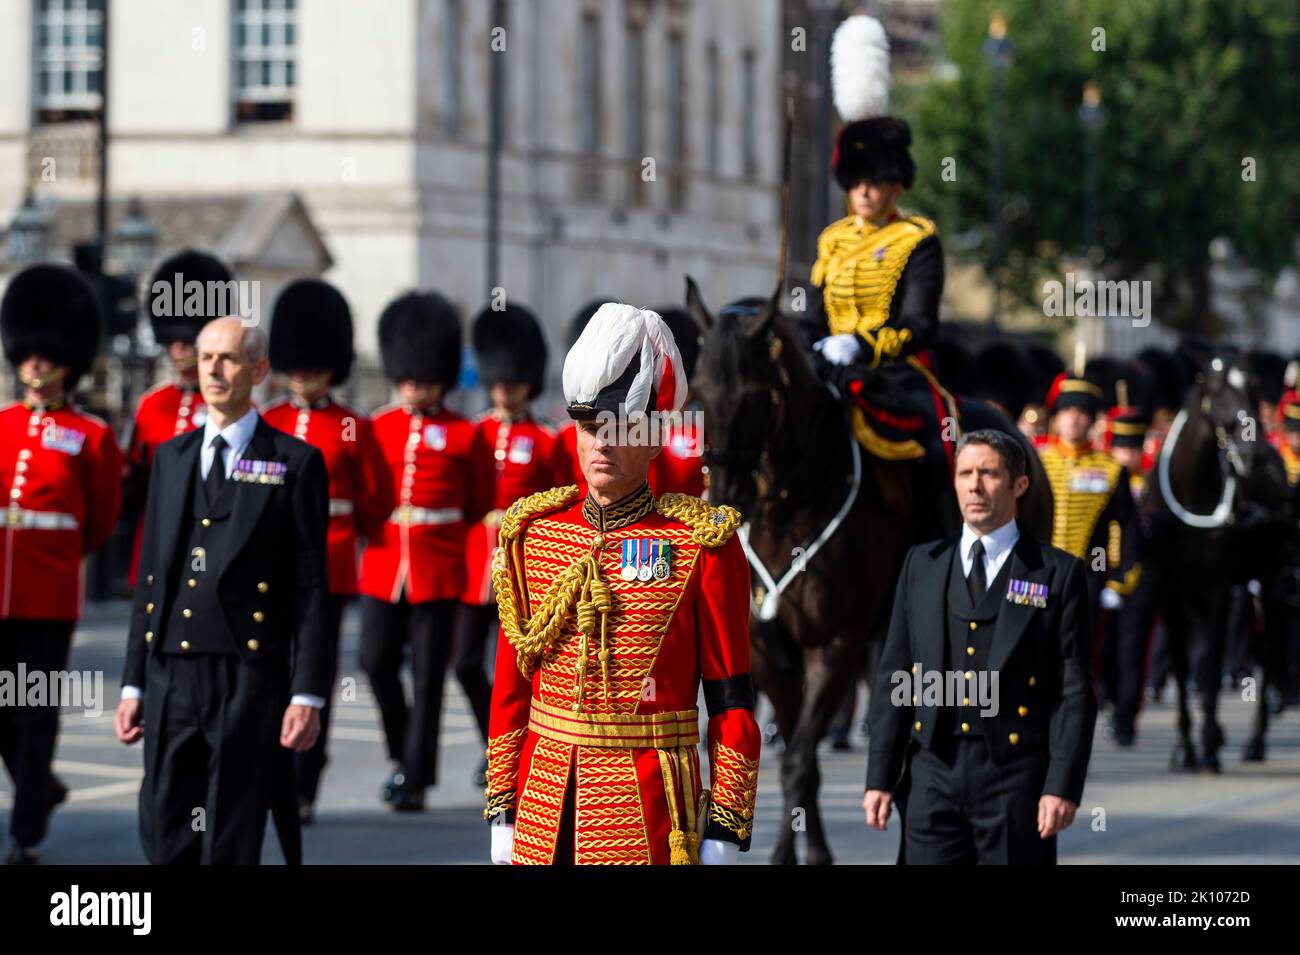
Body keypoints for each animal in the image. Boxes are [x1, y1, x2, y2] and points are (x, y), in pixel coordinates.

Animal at [686, 278, 1050, 867]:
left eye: (755, 396)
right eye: (697, 393)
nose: (726, 497)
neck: (793, 508)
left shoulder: (835, 646)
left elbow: (798, 762)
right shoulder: (768, 656)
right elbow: (801, 764)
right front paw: (802, 851)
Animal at [1149, 356, 1289, 774]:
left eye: (1255, 390)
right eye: (1217, 391)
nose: (1254, 454)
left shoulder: (1218, 591)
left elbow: (1210, 666)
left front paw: (1208, 745)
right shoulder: (1168, 589)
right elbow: (1183, 666)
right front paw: (1185, 746)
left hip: (1269, 583)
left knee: (1268, 654)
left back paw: (1255, 740)